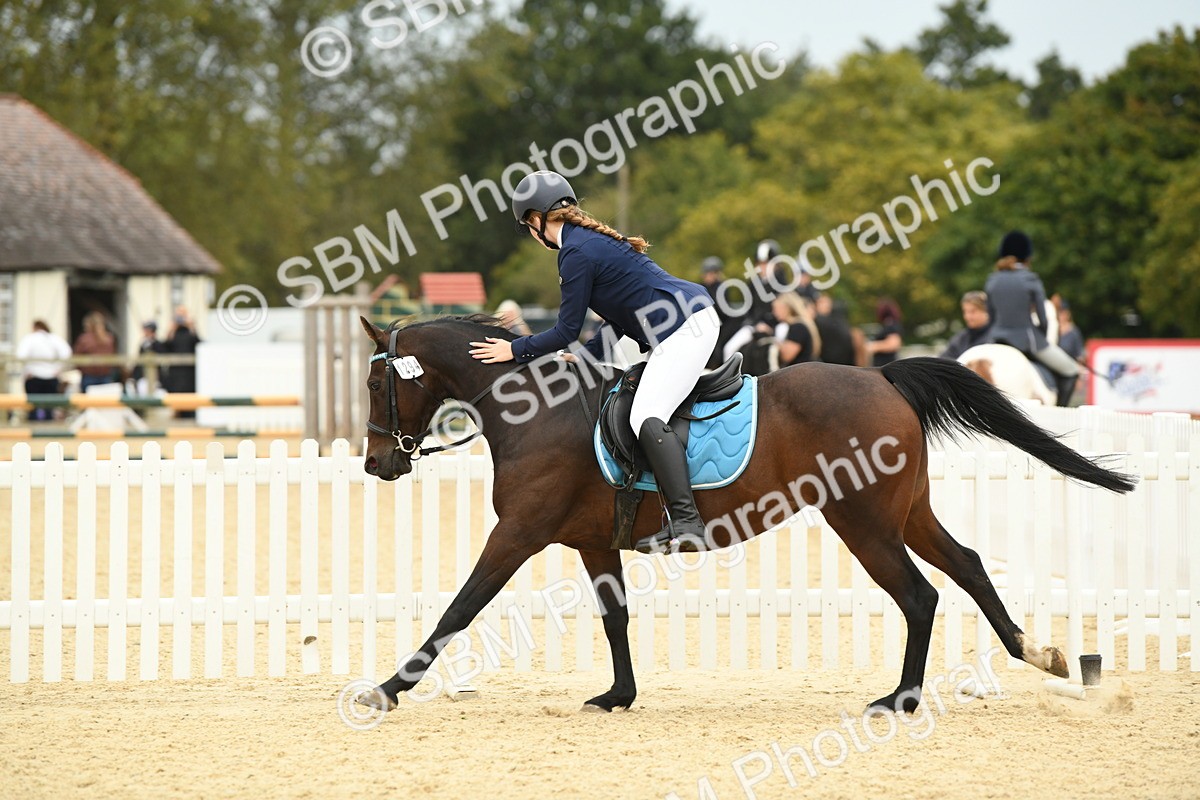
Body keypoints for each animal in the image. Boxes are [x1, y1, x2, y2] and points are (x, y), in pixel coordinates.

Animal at [357, 315, 1134, 715]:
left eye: (372, 382)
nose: (377, 465)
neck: (533, 408)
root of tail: (882, 376)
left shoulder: (517, 534)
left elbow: (459, 609)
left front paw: (389, 689)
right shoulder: (591, 543)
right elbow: (616, 618)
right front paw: (619, 694)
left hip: (863, 524)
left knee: (919, 595)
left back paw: (901, 700)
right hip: (904, 514)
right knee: (968, 567)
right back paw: (1038, 651)